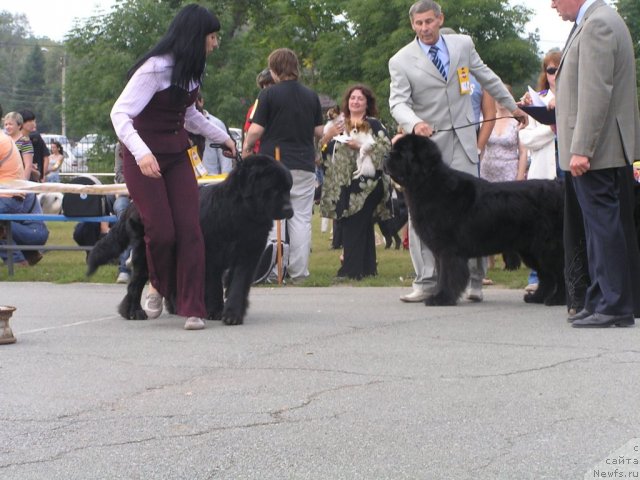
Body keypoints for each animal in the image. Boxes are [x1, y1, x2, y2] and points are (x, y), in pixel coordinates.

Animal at [87, 156, 292, 324]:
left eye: (288, 188)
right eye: (273, 188)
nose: (289, 210)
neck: (239, 212)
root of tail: (134, 205)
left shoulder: (248, 253)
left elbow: (238, 284)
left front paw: (232, 314)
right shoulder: (212, 254)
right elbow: (214, 285)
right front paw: (216, 311)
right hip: (147, 252)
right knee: (136, 283)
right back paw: (133, 312)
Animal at [382, 134, 564, 308]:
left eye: (402, 152)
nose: (385, 156)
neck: (428, 183)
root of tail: (558, 187)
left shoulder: (448, 250)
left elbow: (448, 275)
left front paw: (442, 298)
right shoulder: (440, 251)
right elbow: (441, 275)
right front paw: (440, 296)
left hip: (547, 247)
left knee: (559, 273)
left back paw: (557, 299)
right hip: (532, 249)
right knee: (547, 276)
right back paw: (537, 297)